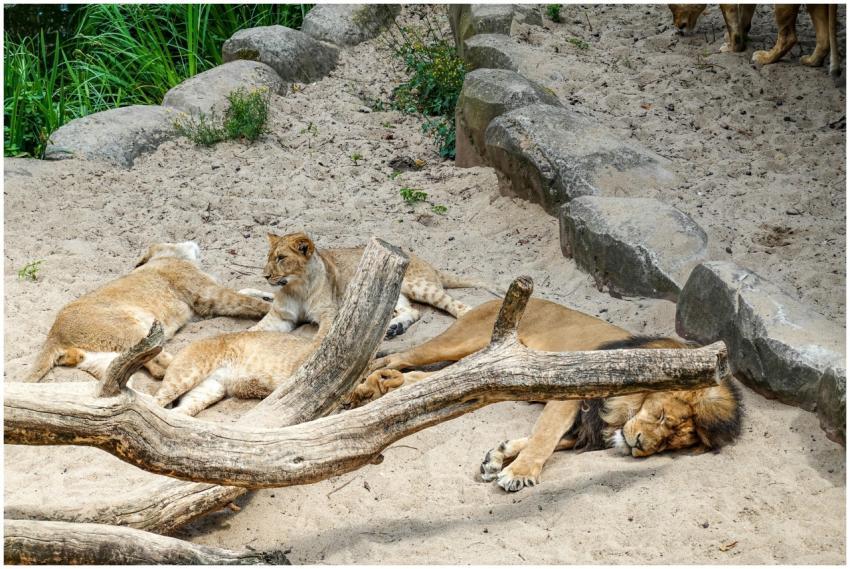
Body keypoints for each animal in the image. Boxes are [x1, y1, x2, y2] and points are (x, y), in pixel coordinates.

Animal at [28, 241, 271, 382]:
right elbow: (245, 300)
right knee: (163, 362)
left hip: (100, 358)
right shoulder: (208, 295)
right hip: (132, 328)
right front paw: (272, 307)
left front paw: (268, 295)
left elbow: (247, 292)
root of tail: (54, 334)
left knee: (145, 367)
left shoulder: (203, 306)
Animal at [242, 231, 501, 339]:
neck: (297, 287)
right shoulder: (281, 318)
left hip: (420, 286)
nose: (265, 276)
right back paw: (394, 328)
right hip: (388, 296)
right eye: (268, 257)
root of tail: (426, 261)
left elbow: (321, 336)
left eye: (281, 258)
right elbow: (251, 331)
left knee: (458, 305)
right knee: (412, 311)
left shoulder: (329, 314)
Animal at [347, 298, 742, 492]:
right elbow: (544, 437)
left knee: (424, 380)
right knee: (396, 357)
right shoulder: (570, 396)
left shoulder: (586, 426)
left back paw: (384, 386)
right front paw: (519, 474)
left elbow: (549, 441)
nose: (640, 447)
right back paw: (362, 387)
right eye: (662, 417)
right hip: (462, 341)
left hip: (488, 365)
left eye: (672, 443)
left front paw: (499, 456)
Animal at [668, 4, 840, 76]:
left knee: (788, 36)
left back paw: (765, 57)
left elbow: (730, 17)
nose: (677, 27)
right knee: (824, 39)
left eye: (672, 7)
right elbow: (745, 14)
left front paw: (733, 46)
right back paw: (812, 61)